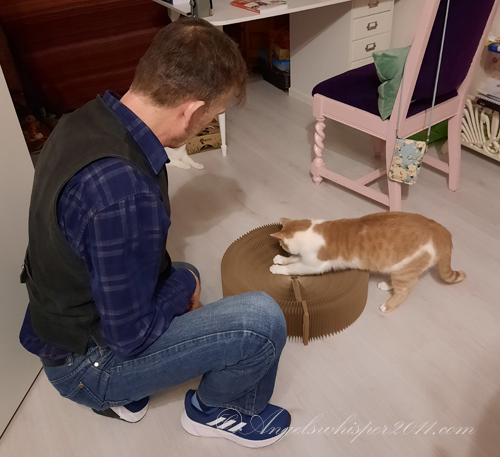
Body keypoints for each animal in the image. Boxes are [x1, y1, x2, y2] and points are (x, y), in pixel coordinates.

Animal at [269, 212, 465, 313]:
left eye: (282, 244)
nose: (282, 248)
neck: (310, 231)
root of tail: (440, 230)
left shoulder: (313, 265)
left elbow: (293, 267)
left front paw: (277, 268)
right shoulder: (305, 258)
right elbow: (293, 259)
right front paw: (281, 259)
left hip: (404, 270)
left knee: (404, 290)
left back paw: (388, 305)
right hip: (397, 268)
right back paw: (386, 285)